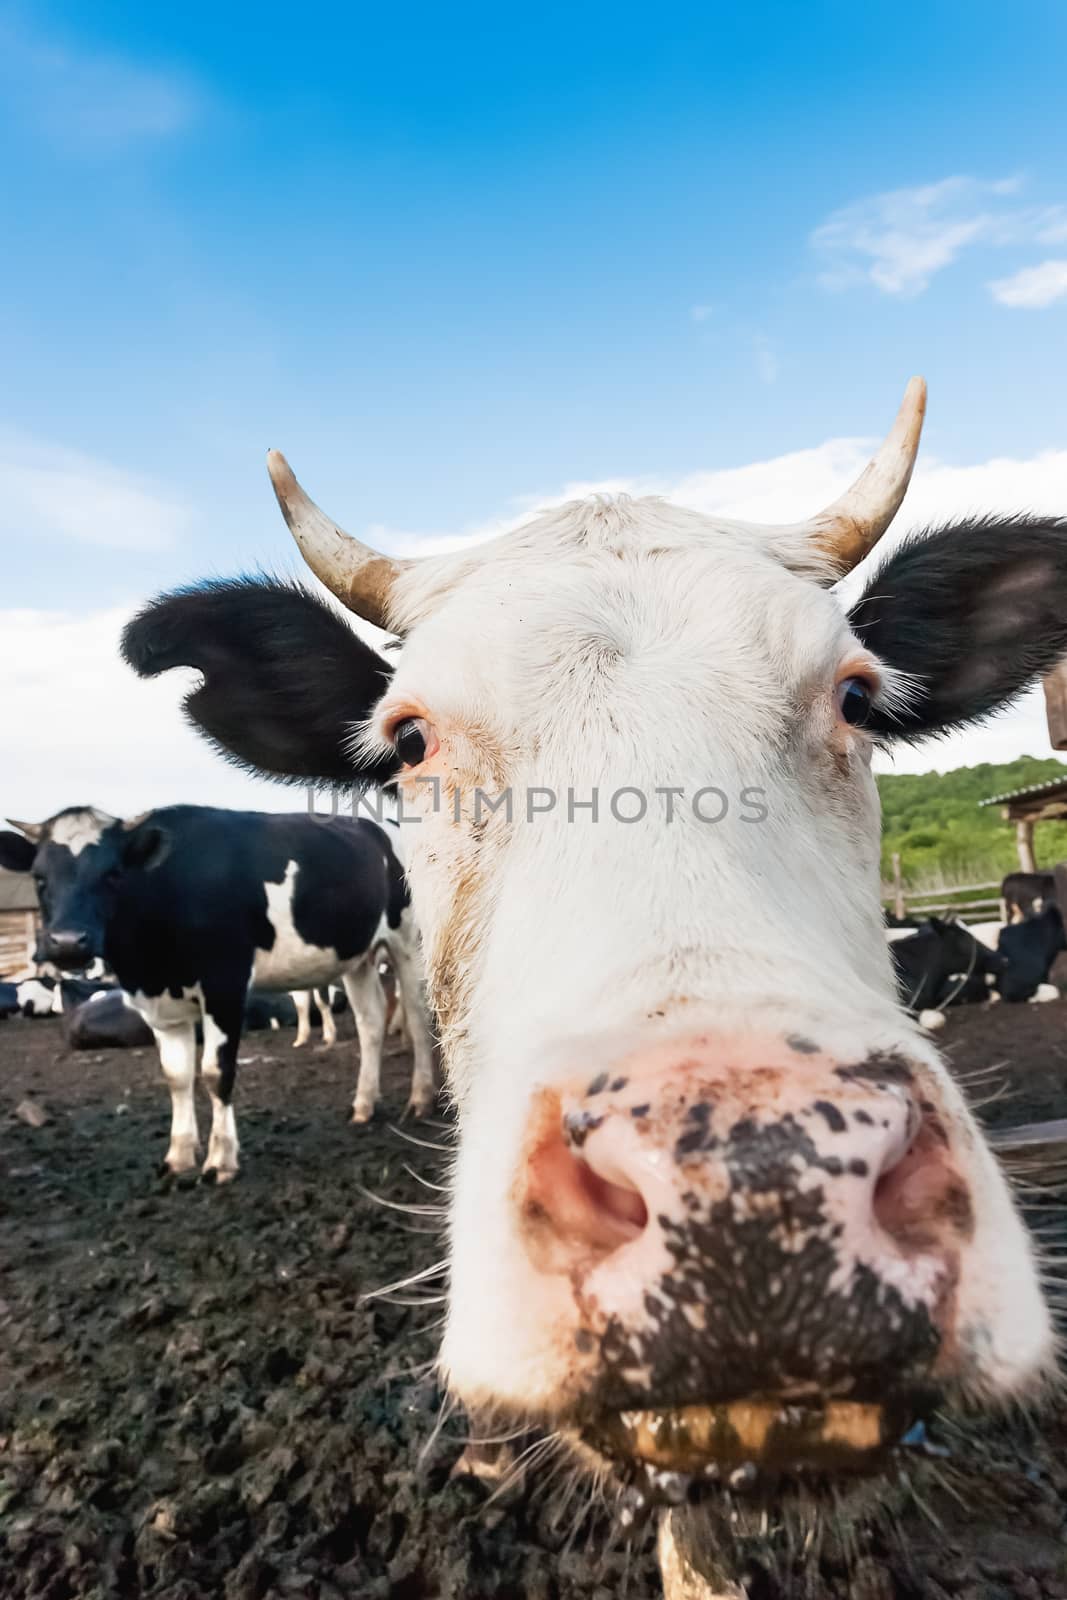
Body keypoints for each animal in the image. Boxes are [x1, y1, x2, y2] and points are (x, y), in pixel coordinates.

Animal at [1, 806, 435, 1184]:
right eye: (39, 877)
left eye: (113, 874)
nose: (67, 942)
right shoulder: (161, 1004)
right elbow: (176, 1076)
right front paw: (178, 1157)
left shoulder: (225, 985)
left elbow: (215, 1073)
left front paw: (220, 1160)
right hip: (357, 956)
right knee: (371, 1022)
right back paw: (364, 1105)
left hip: (408, 942)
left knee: (416, 1015)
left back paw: (420, 1099)